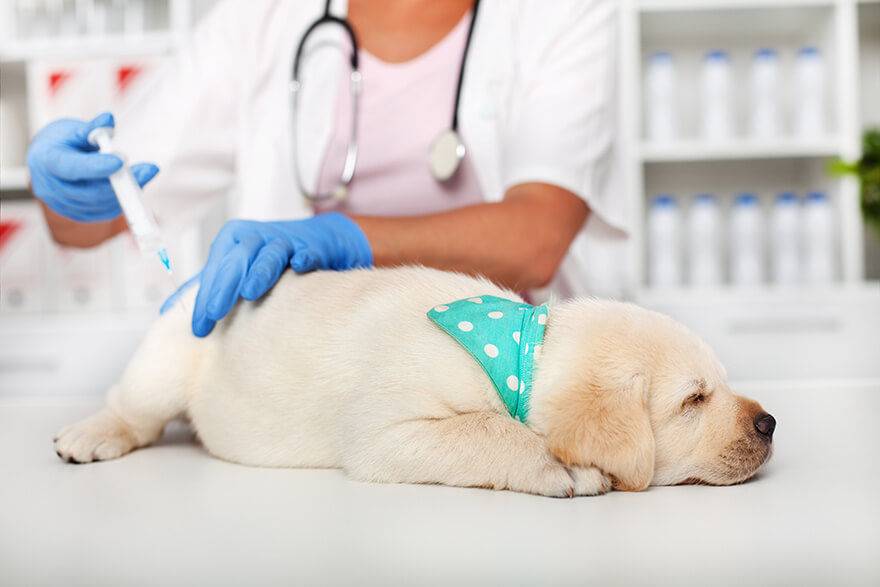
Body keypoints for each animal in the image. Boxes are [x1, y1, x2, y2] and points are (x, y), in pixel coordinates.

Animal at [51, 266, 772, 496]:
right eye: (694, 399)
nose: (770, 424)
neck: (517, 351)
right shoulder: (385, 432)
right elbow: (487, 430)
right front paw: (561, 465)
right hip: (170, 354)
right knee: (131, 408)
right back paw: (89, 434)